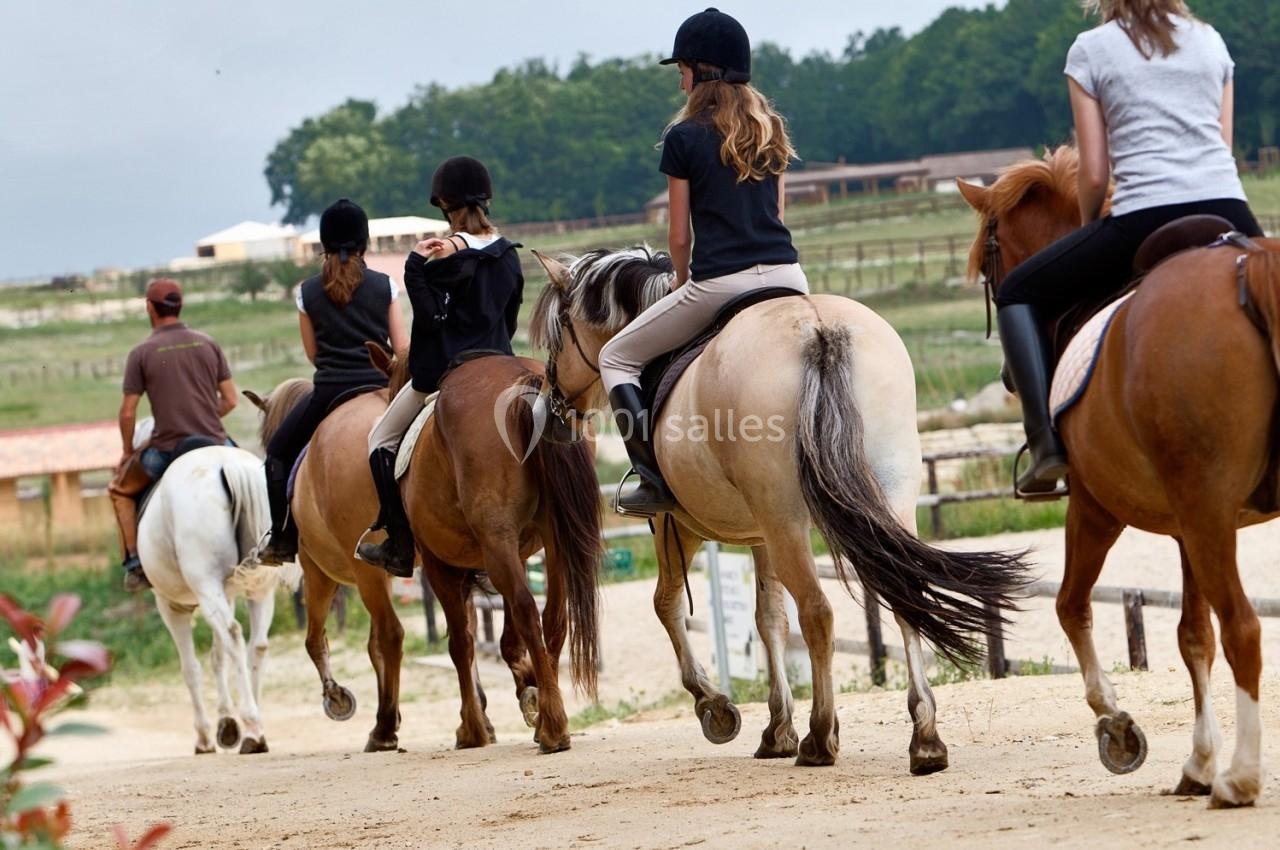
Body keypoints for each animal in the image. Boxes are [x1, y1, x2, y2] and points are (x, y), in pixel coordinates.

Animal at [137, 445, 300, 754]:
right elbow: (217, 657)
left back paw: (251, 725)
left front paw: (205, 736)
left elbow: (191, 669)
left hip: (205, 586)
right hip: (258, 590)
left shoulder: (172, 606)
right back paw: (255, 725)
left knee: (233, 636)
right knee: (257, 645)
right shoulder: (227, 594)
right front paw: (226, 723)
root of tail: (228, 465)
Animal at [247, 346, 602, 754]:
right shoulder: (475, 555)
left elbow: (327, 640)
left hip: (376, 567)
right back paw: (545, 712)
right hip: (549, 540)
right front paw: (493, 709)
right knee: (552, 618)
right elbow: (479, 633)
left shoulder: (330, 570)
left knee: (395, 635)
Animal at [530, 248, 1029, 772]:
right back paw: (925, 739)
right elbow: (769, 619)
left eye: (557, 337)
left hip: (783, 518)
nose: (551, 409)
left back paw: (820, 737)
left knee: (817, 613)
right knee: (902, 594)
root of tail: (818, 330)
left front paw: (716, 707)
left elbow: (668, 606)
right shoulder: (761, 534)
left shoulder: (676, 524)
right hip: (878, 500)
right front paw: (776, 729)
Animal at [959, 146, 1280, 808]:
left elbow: (1069, 606)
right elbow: (1192, 635)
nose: (1005, 378)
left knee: (1244, 628)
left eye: (989, 265)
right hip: (1208, 519)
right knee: (1228, 629)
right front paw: (1197, 761)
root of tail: (1248, 270)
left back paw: (1240, 778)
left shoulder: (1094, 509)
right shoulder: (1190, 527)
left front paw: (1117, 725)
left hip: (1198, 514)